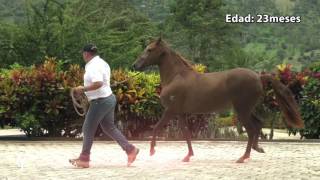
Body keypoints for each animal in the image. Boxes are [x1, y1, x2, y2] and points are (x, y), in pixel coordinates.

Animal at [132, 38, 302, 163]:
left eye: (150, 49)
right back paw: (257, 148)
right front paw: (188, 156)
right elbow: (186, 134)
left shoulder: (170, 111)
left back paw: (243, 157)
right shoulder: (180, 113)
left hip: (242, 110)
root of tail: (258, 77)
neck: (176, 77)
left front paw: (152, 151)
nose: (135, 65)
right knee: (258, 124)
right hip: (246, 109)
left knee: (251, 129)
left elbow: (156, 128)